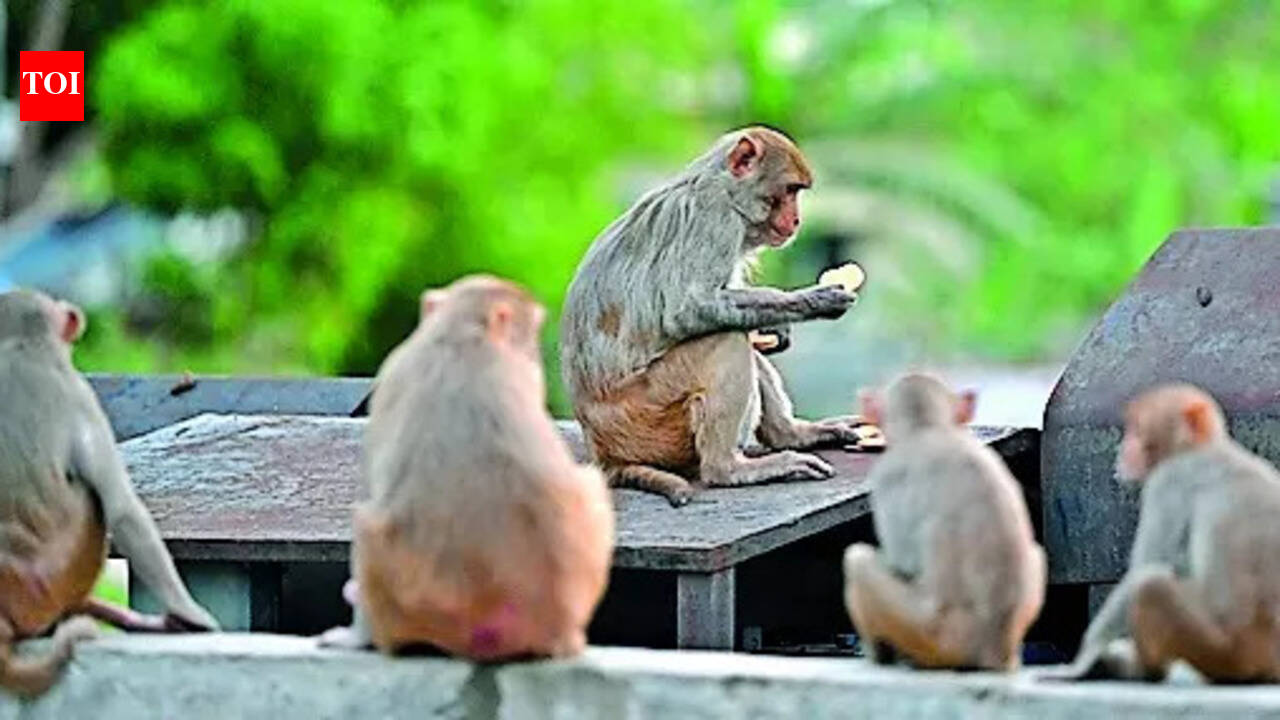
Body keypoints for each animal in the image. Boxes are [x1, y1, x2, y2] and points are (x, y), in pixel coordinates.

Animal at [0, 289, 218, 697]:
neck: (18, 346)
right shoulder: (81, 396)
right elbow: (122, 509)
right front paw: (192, 613)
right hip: (53, 584)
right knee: (93, 502)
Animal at [560, 126, 866, 506]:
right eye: (790, 191)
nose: (797, 220)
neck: (723, 186)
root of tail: (602, 449)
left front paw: (778, 324)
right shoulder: (715, 218)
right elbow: (689, 309)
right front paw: (813, 300)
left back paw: (791, 435)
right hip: (645, 418)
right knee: (726, 339)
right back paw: (729, 469)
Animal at [842, 373, 1045, 671]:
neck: (927, 429)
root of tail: (994, 648)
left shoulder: (887, 477)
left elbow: (902, 562)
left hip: (931, 635)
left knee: (857, 561)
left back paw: (880, 654)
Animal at [1064, 384, 1280, 683]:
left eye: (1137, 429)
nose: (1123, 448)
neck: (1200, 447)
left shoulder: (1166, 483)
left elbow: (1146, 567)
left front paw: (1083, 658)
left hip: (1224, 652)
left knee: (1150, 586)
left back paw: (1141, 670)